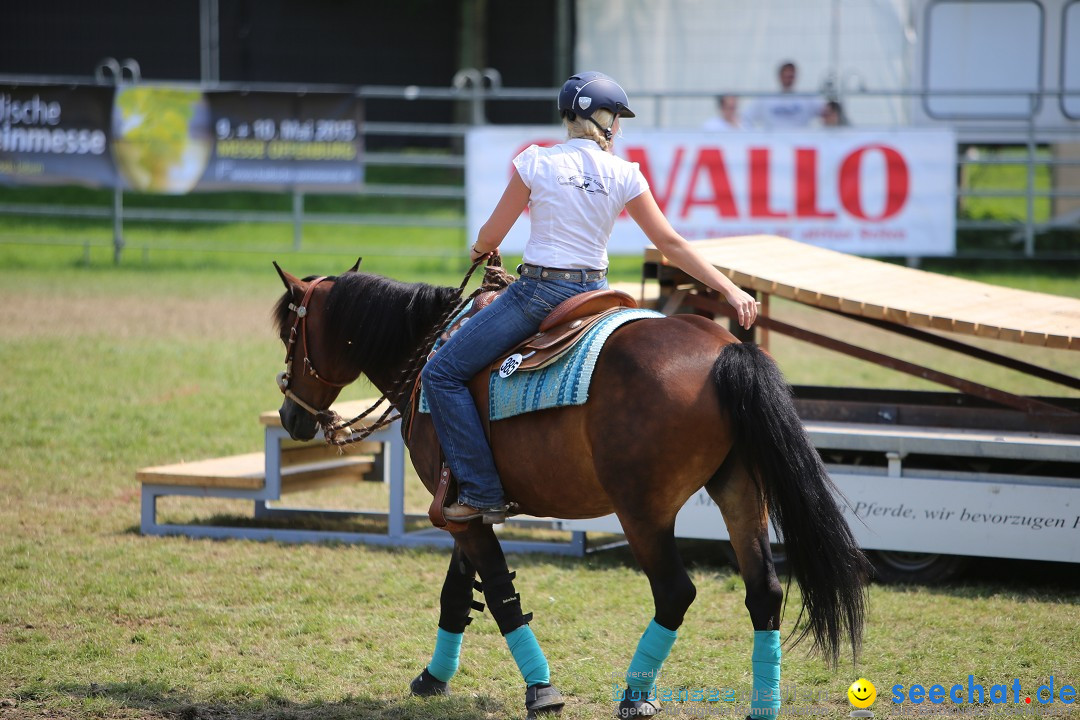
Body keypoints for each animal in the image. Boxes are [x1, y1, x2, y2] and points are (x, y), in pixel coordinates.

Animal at [272, 260, 868, 720]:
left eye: (288, 337)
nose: (290, 417)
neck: (427, 356)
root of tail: (724, 352)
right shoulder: (465, 505)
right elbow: (458, 593)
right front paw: (432, 678)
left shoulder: (461, 514)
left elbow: (501, 597)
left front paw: (541, 691)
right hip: (741, 491)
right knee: (764, 591)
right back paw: (761, 707)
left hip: (643, 512)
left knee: (675, 592)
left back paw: (635, 696)